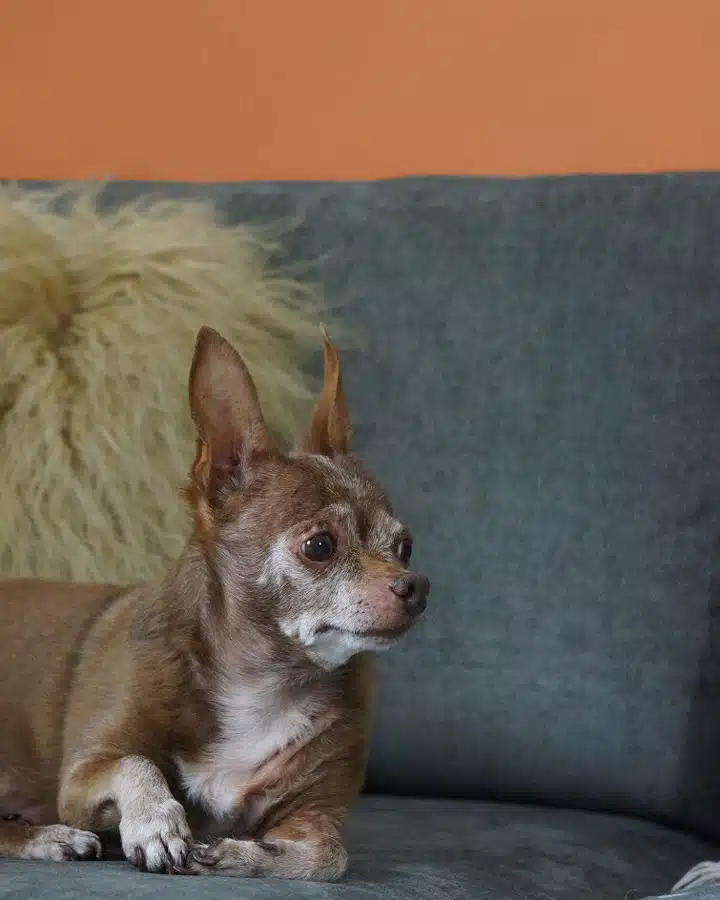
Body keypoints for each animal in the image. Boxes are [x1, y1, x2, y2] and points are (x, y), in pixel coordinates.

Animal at [0, 326, 428, 880]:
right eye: (320, 546)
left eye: (405, 547)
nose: (416, 586)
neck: (262, 680)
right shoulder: (82, 776)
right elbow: (135, 763)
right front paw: (156, 823)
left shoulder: (317, 813)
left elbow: (327, 857)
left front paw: (236, 853)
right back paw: (51, 837)